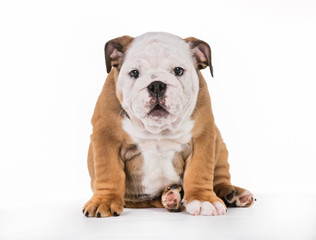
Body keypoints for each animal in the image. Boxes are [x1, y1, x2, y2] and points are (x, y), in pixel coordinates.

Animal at [82, 31, 254, 218]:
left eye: (178, 70)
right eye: (134, 73)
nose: (156, 85)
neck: (157, 129)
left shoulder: (202, 137)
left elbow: (199, 170)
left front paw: (203, 199)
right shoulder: (107, 138)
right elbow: (109, 172)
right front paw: (104, 201)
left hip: (220, 146)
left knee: (219, 178)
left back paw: (231, 194)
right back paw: (171, 196)